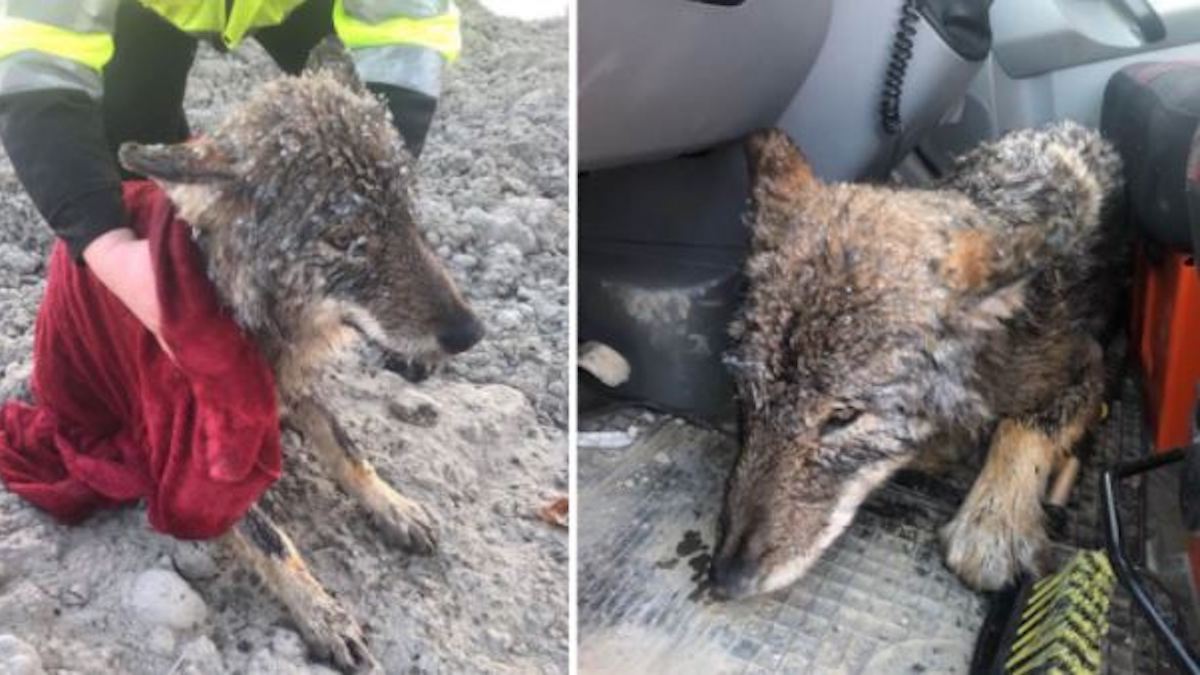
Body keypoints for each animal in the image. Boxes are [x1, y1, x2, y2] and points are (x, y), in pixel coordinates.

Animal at [118, 42, 482, 667]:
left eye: (408, 214)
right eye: (344, 238)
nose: (471, 331)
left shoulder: (300, 385)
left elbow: (348, 448)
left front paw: (392, 504)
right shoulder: (192, 464)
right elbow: (269, 537)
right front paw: (324, 614)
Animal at [705, 123, 1118, 595]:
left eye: (843, 417)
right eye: (744, 394)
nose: (725, 578)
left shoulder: (1088, 363)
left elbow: (1024, 427)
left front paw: (995, 522)